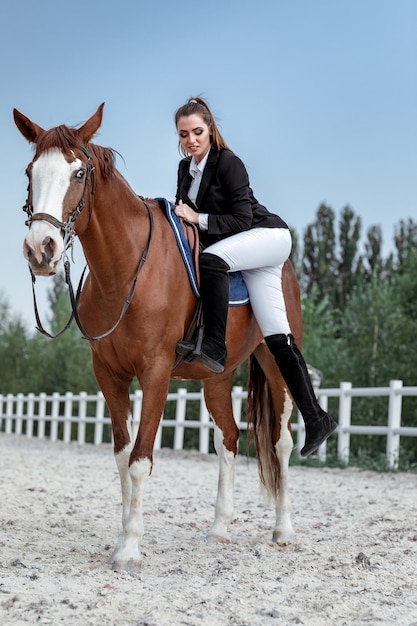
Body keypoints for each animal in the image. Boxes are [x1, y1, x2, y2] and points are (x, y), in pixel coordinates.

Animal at [14, 105, 300, 568]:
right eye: (30, 172)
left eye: (79, 173)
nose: (42, 249)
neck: (126, 268)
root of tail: (286, 264)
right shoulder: (109, 374)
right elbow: (121, 456)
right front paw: (124, 534)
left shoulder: (156, 373)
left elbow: (140, 458)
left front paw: (130, 548)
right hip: (216, 378)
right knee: (228, 439)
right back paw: (219, 529)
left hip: (277, 359)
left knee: (281, 440)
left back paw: (284, 529)